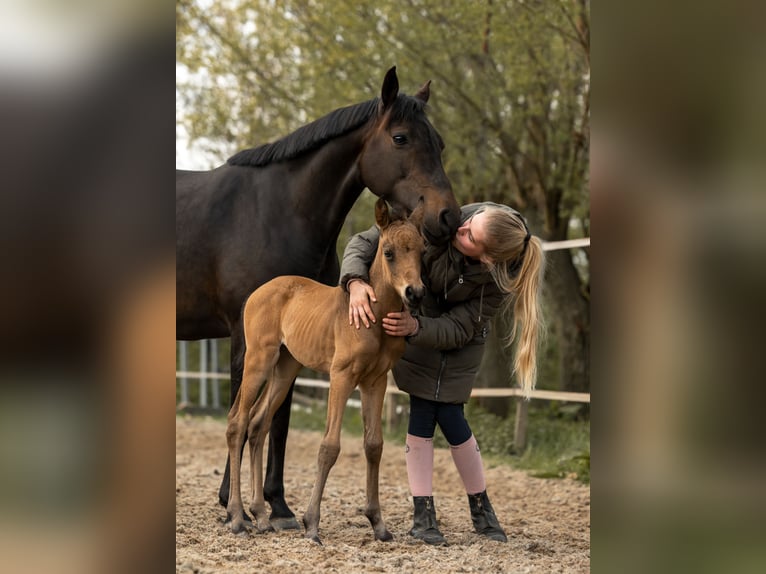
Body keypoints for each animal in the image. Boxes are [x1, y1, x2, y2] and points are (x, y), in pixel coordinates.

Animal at [228, 200, 426, 548]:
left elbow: (374, 445)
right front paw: (311, 525)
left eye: (421, 249)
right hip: (259, 361)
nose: (414, 293)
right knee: (238, 423)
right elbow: (329, 447)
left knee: (258, 424)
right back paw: (238, 518)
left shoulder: (375, 381)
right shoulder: (342, 376)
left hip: (285, 368)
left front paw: (378, 524)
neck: (373, 316)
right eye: (388, 252)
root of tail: (255, 294)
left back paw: (262, 516)